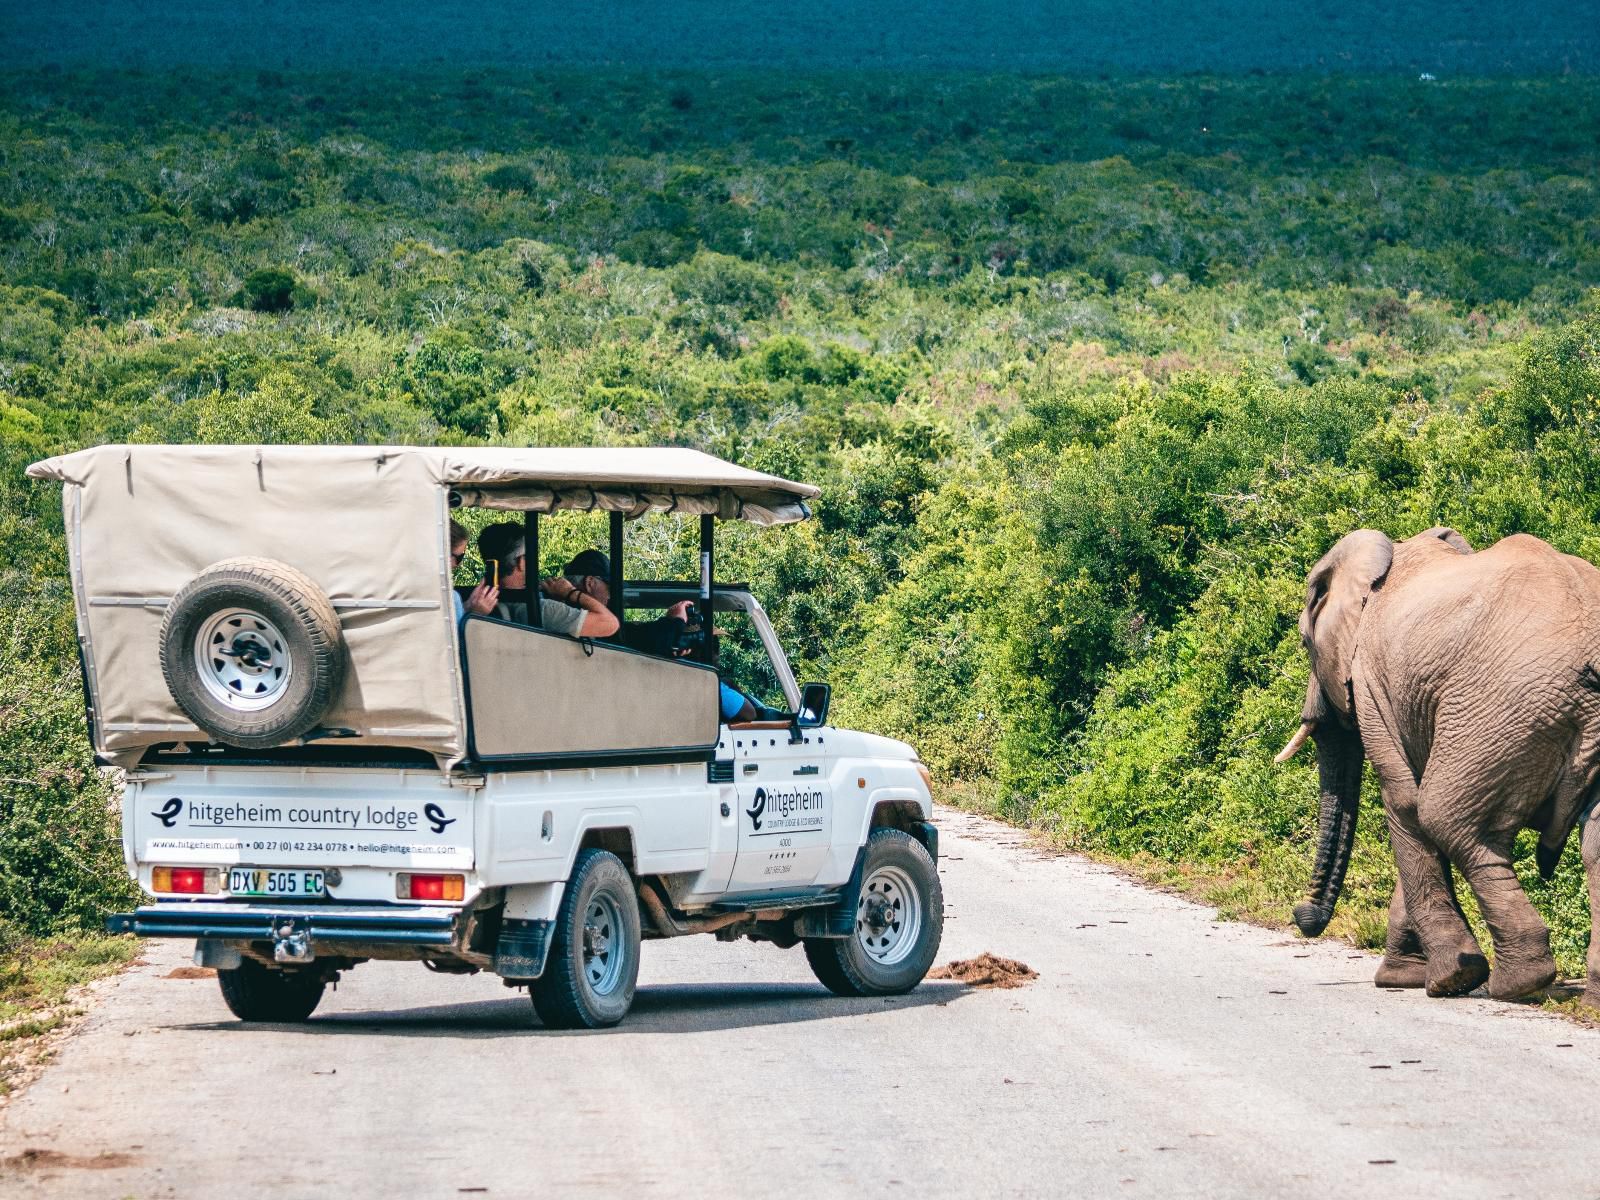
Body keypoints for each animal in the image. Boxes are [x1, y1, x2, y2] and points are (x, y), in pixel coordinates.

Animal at [1273, 524, 1600, 1004]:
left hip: (1504, 707)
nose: (1302, 917)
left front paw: (1447, 979)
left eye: (1304, 642)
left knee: (1447, 817)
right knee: (1595, 845)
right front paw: (1405, 976)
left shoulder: (1370, 681)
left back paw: (1516, 984)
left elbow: (1403, 801)